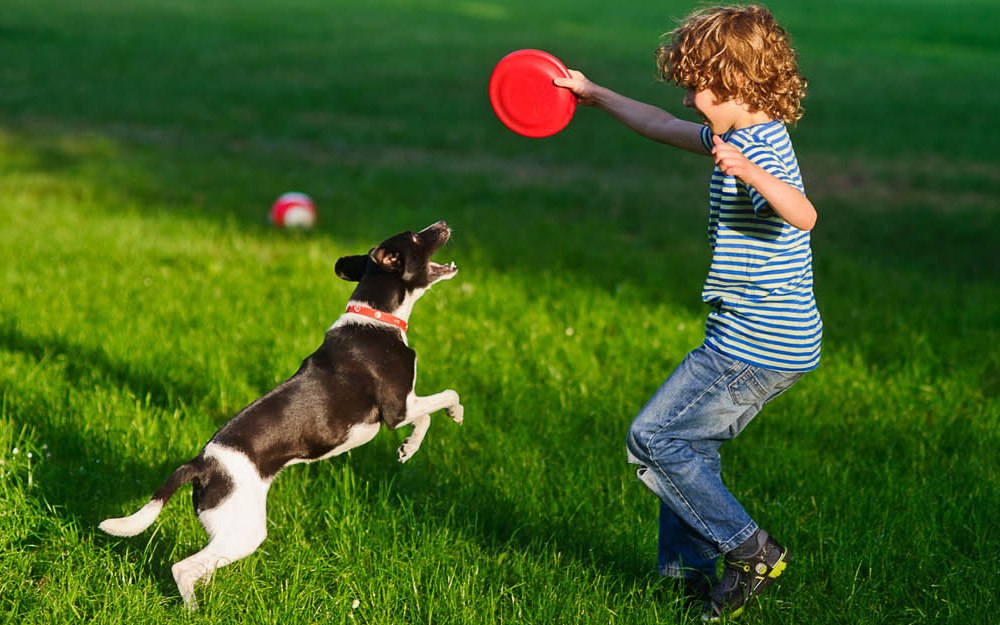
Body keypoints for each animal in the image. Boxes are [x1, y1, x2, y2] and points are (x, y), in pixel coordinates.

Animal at [99, 218, 462, 604]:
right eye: (415, 237)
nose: (442, 223)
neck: (377, 316)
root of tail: (201, 464)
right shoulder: (398, 407)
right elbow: (445, 397)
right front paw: (455, 415)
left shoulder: (404, 407)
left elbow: (425, 417)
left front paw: (408, 449)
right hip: (245, 531)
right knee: (182, 568)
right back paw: (195, 609)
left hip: (227, 529)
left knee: (202, 566)